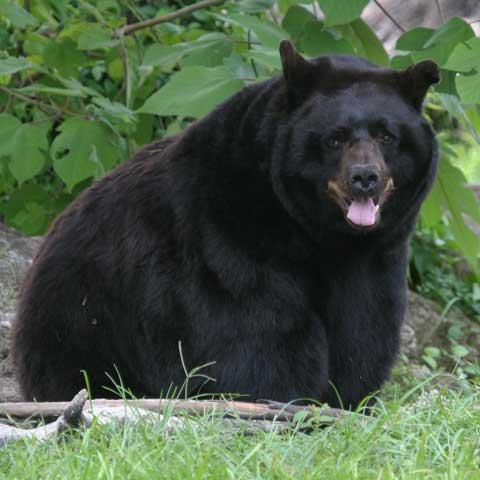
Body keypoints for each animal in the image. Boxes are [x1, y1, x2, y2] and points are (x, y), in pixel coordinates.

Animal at [11, 41, 438, 406]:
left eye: (387, 135)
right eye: (335, 138)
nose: (364, 177)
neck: (317, 234)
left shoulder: (376, 256)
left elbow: (363, 331)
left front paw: (348, 396)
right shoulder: (228, 237)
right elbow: (255, 337)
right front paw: (281, 396)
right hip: (83, 320)